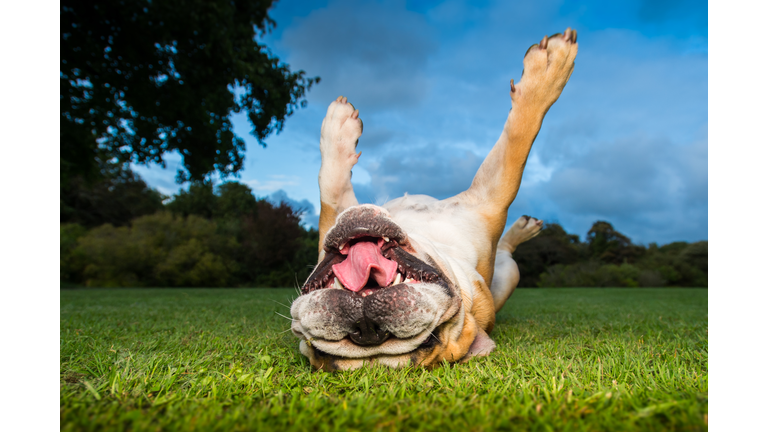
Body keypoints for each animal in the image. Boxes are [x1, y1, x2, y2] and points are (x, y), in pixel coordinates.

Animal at [292, 29, 580, 372]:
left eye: (430, 340)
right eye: (318, 351)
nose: (367, 329)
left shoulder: (486, 204)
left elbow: (518, 142)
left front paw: (548, 70)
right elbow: (515, 150)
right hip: (510, 274)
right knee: (506, 252)